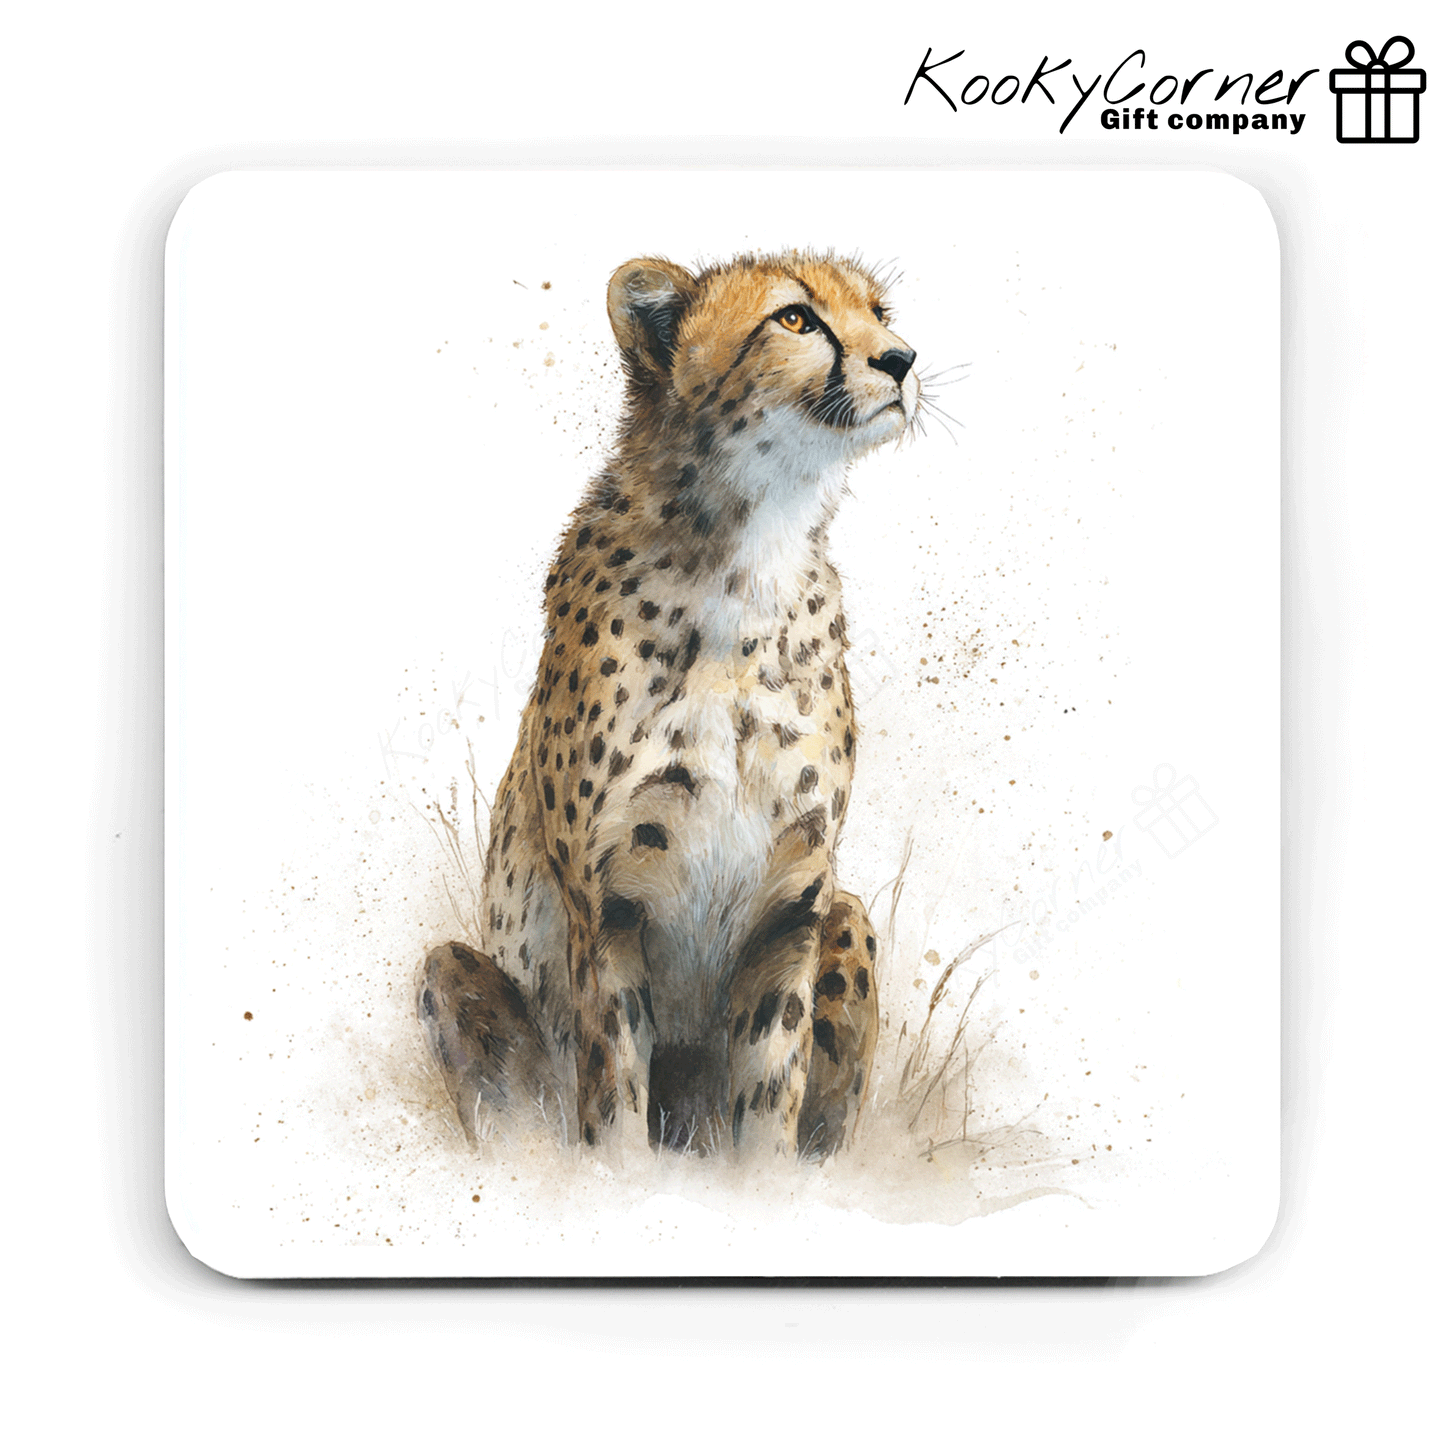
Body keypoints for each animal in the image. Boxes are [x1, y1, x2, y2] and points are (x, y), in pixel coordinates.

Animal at [418, 249, 918, 1160]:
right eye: (795, 318)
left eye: (878, 311)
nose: (901, 360)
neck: (749, 557)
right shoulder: (606, 907)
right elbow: (613, 1095)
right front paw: (617, 1179)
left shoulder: (790, 908)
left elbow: (770, 1098)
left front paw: (764, 1182)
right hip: (448, 967)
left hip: (847, 914)